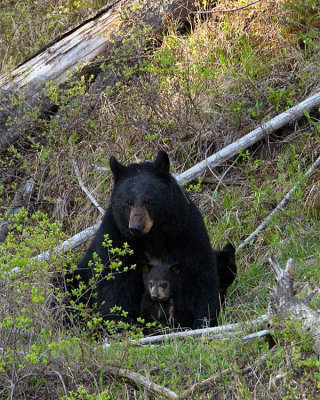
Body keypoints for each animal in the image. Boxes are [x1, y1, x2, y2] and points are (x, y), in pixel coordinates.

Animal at [75, 151, 220, 328]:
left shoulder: (185, 231)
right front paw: (118, 324)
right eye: (128, 202)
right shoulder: (115, 236)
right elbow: (114, 282)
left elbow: (200, 275)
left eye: (149, 200)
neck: (152, 237)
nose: (135, 227)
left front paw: (203, 322)